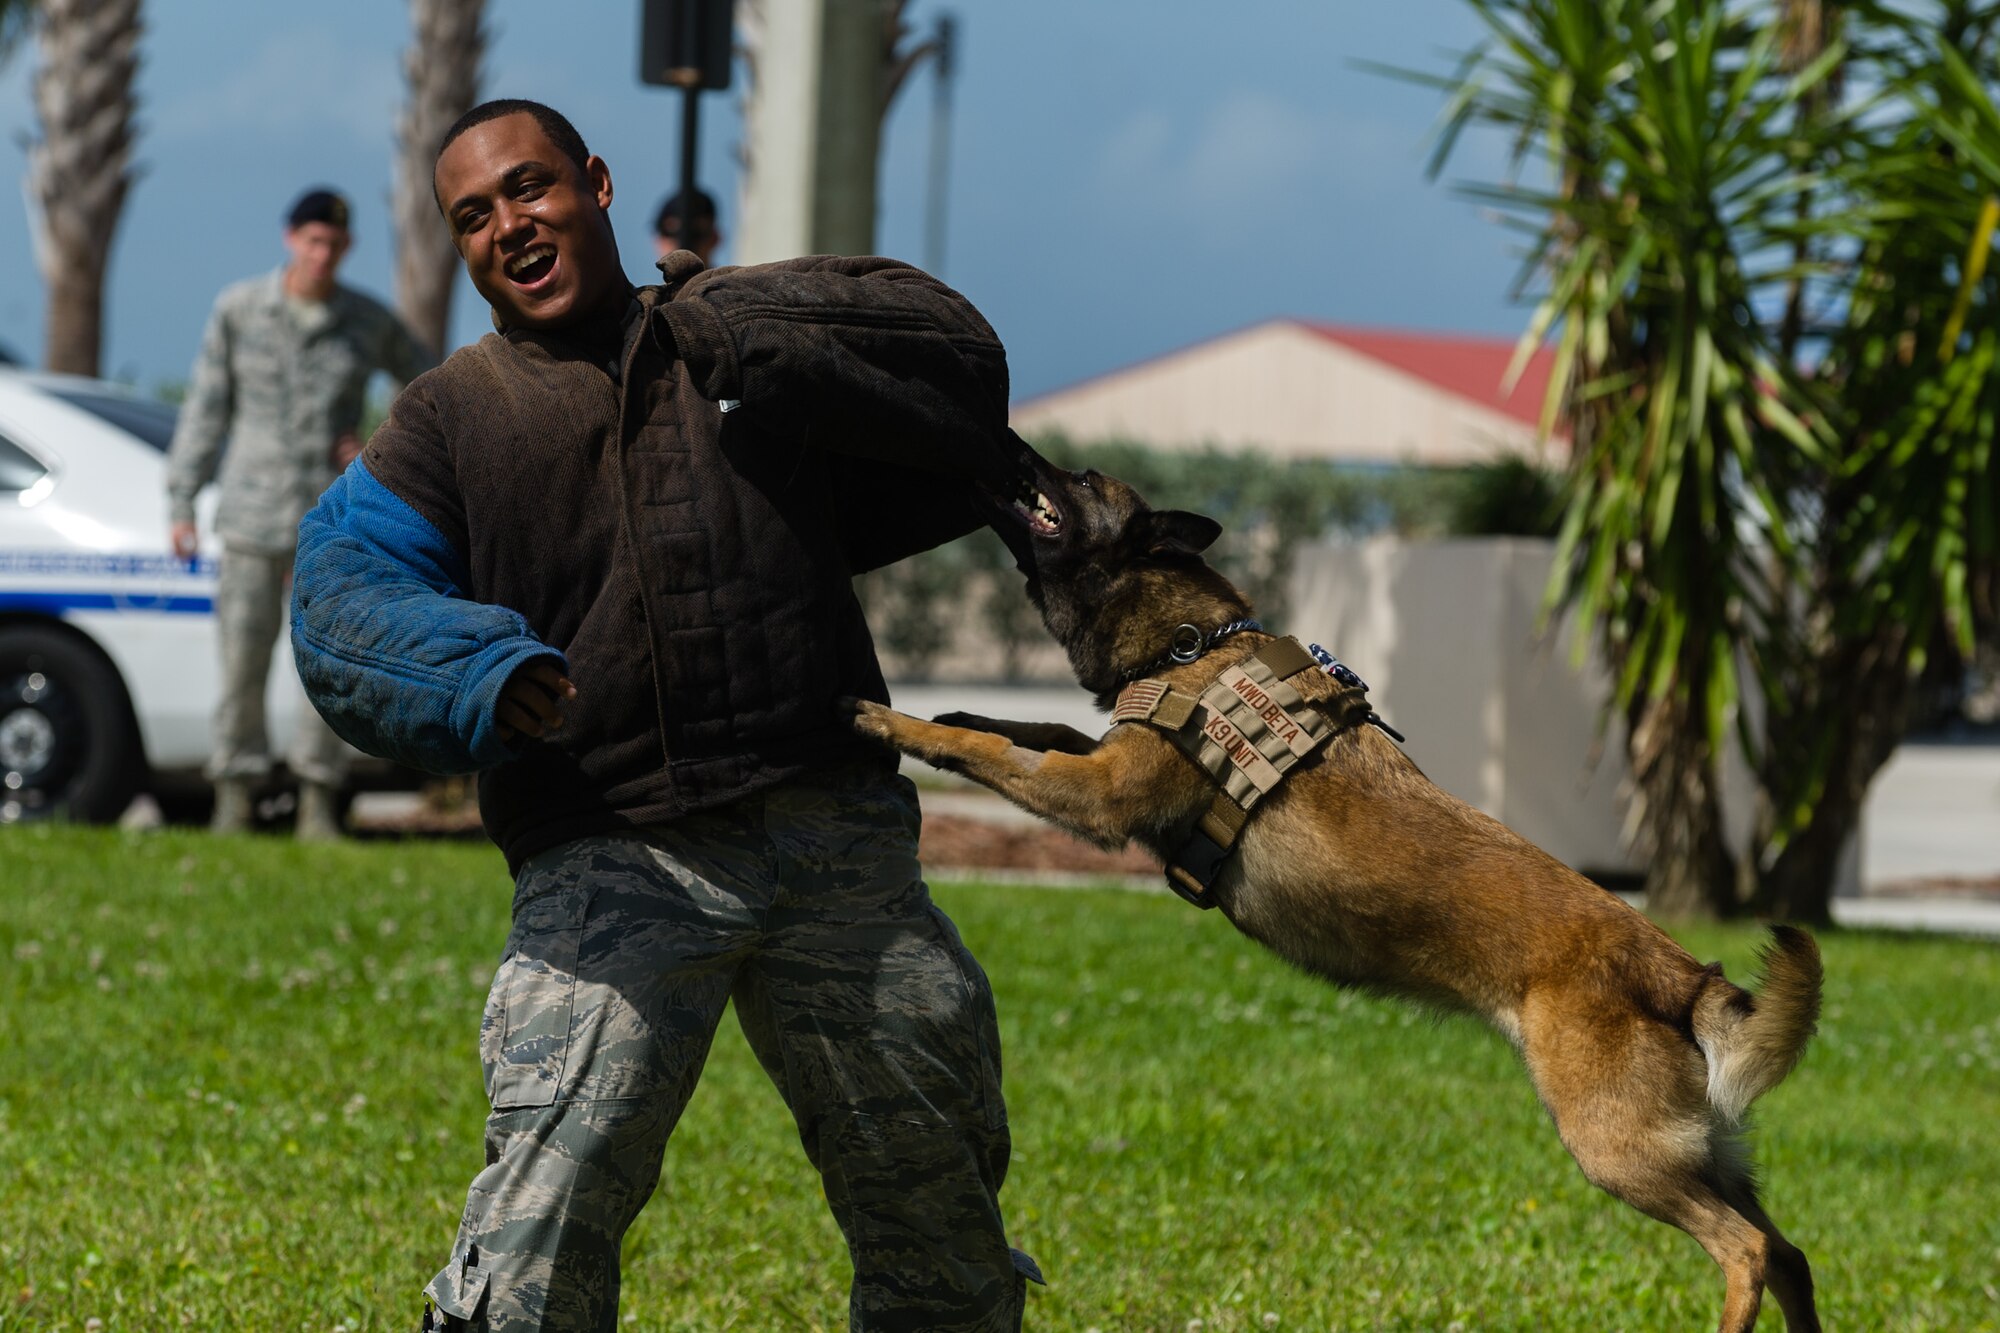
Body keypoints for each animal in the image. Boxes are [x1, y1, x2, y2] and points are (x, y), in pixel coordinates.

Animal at [844, 462, 1832, 1320]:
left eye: (1079, 482)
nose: (1013, 454)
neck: (1190, 644)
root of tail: (1684, 972)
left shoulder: (1098, 796)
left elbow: (999, 751)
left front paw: (895, 720)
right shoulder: (1099, 759)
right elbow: (1029, 729)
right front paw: (956, 709)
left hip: (1619, 1151)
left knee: (1746, 1250)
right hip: (1705, 1155)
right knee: (1790, 1253)